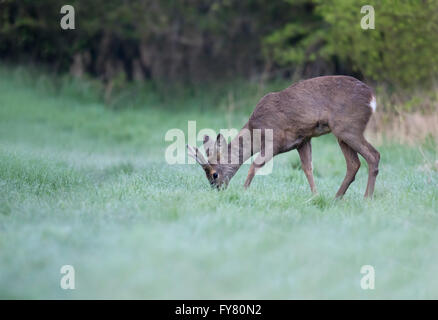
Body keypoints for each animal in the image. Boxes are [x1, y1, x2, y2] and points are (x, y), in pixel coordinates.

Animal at [186, 75, 378, 198]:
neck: (255, 132)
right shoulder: (303, 140)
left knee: (373, 155)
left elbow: (255, 165)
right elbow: (308, 168)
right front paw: (315, 196)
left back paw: (366, 198)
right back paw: (336, 198)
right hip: (341, 133)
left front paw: (244, 190)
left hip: (348, 127)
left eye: (214, 174)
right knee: (354, 164)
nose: (217, 189)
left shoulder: (275, 140)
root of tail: (372, 98)